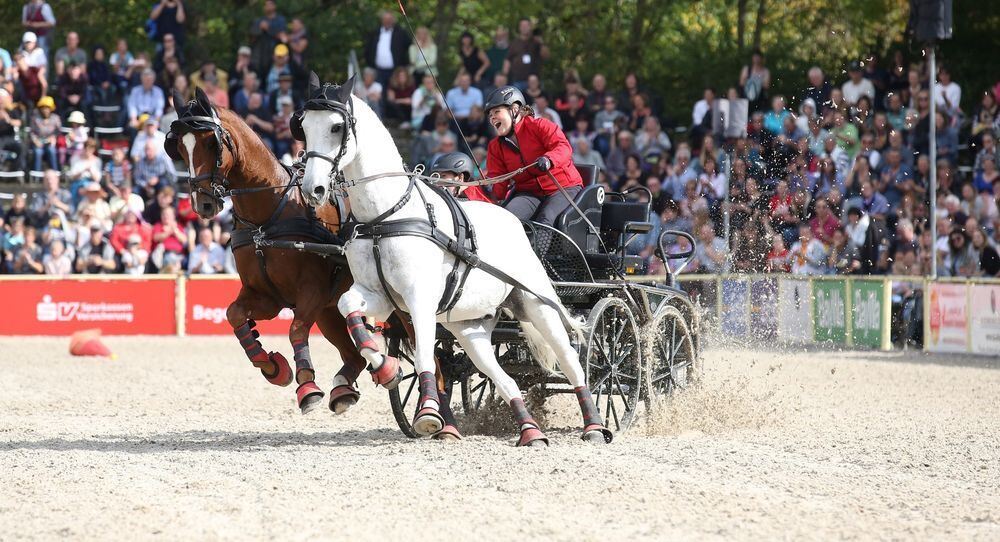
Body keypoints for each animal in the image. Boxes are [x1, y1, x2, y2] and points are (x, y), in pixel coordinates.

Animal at [292, 75, 612, 450]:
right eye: (303, 127)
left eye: (337, 126)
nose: (313, 189)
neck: (386, 215)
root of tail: (516, 223)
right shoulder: (380, 296)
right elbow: (348, 309)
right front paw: (386, 367)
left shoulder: (419, 299)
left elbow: (424, 356)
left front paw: (429, 413)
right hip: (470, 325)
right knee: (502, 377)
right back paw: (531, 432)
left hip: (538, 305)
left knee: (573, 363)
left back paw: (594, 426)